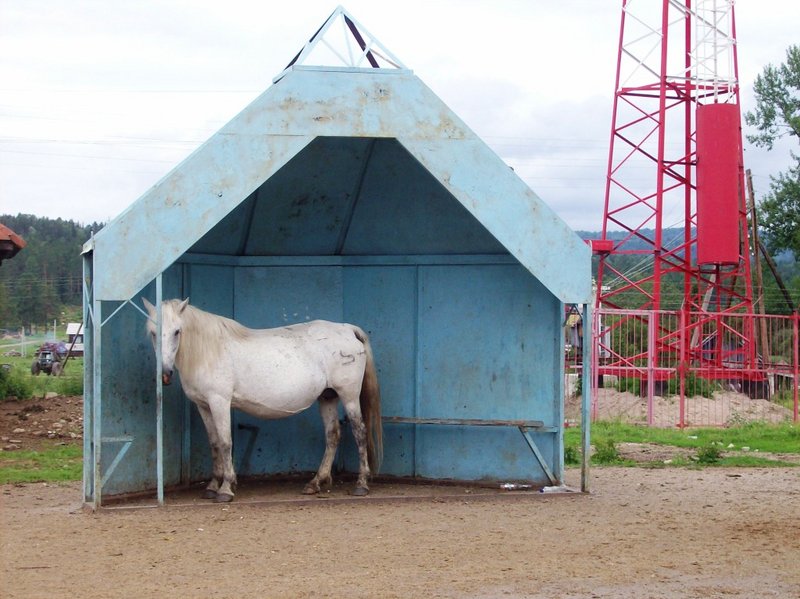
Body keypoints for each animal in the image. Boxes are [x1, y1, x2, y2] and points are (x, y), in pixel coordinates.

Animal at [144, 298, 384, 502]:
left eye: (177, 331)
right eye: (154, 333)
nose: (165, 374)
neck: (209, 351)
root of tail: (347, 328)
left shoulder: (219, 402)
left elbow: (225, 442)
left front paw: (226, 488)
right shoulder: (203, 406)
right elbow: (214, 443)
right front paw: (212, 486)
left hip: (349, 396)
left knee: (360, 432)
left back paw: (361, 484)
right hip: (328, 397)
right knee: (333, 434)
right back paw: (315, 482)